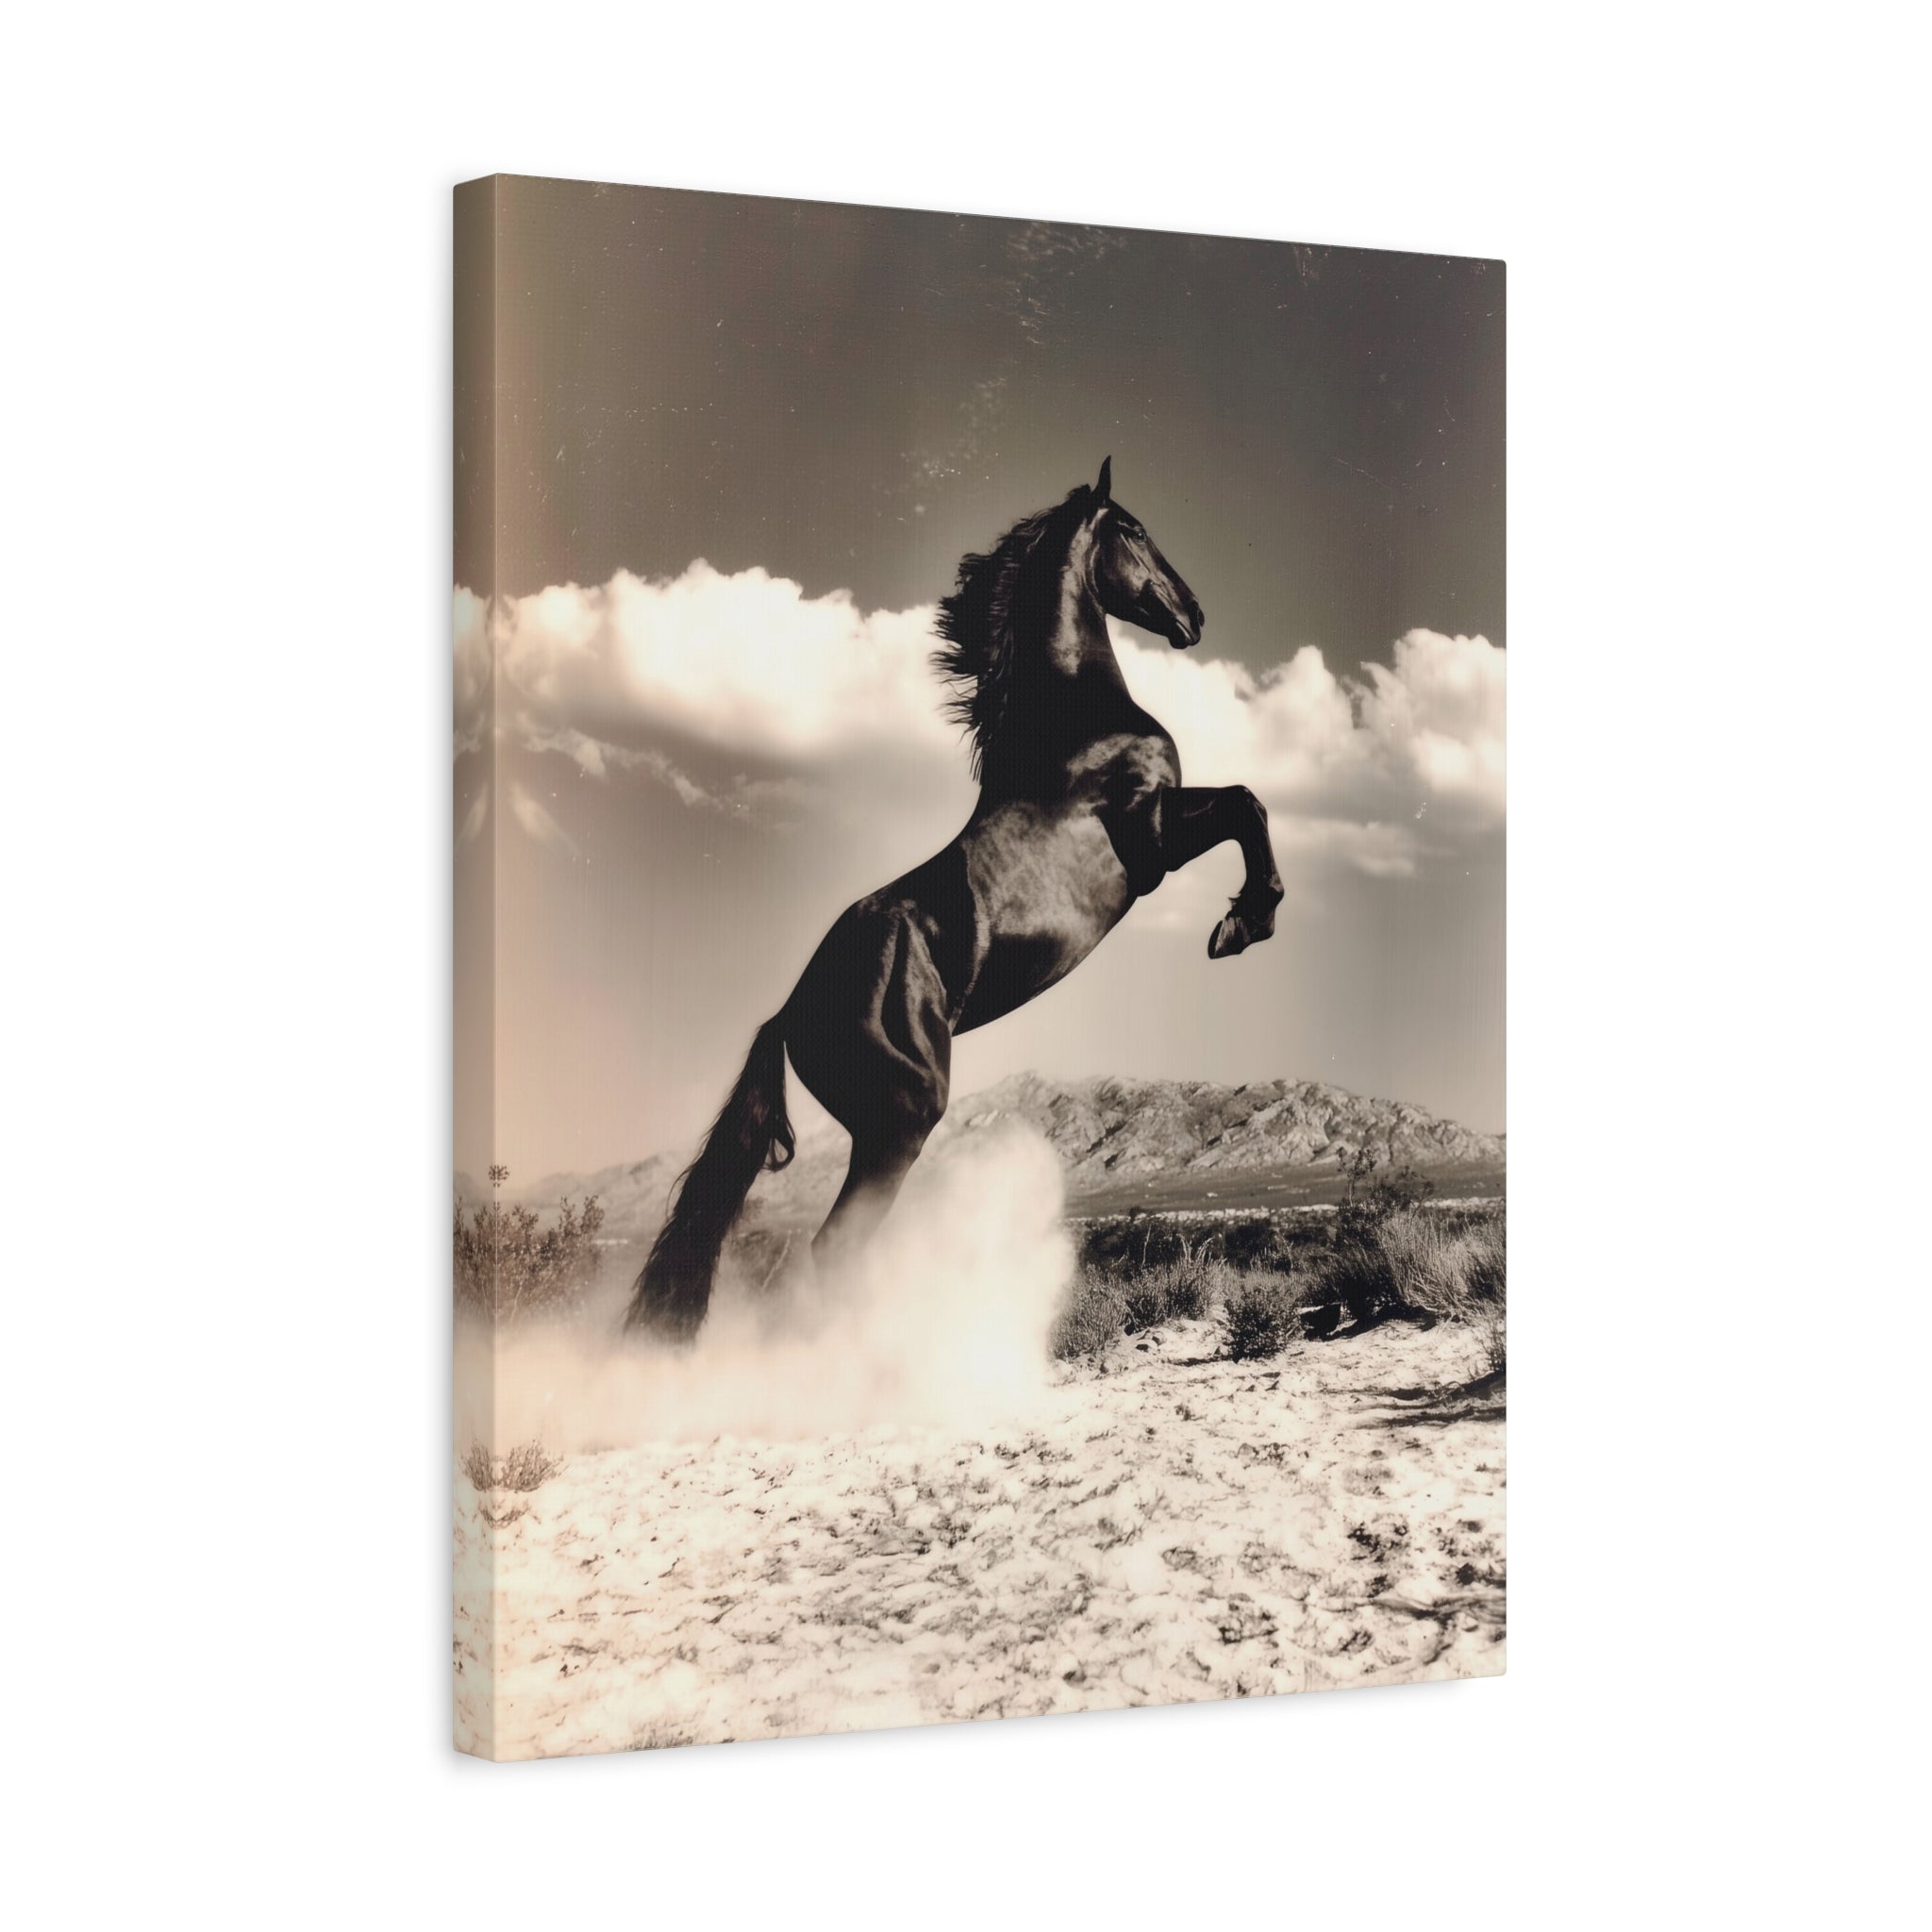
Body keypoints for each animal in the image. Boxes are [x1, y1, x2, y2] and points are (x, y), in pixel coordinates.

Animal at [625, 458, 1284, 1340]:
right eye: (1134, 529)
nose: (1193, 615)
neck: (1073, 723)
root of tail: (790, 1012)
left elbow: (1249, 805)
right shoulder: (1153, 839)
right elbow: (1248, 804)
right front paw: (1243, 923)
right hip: (902, 1118)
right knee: (834, 1252)